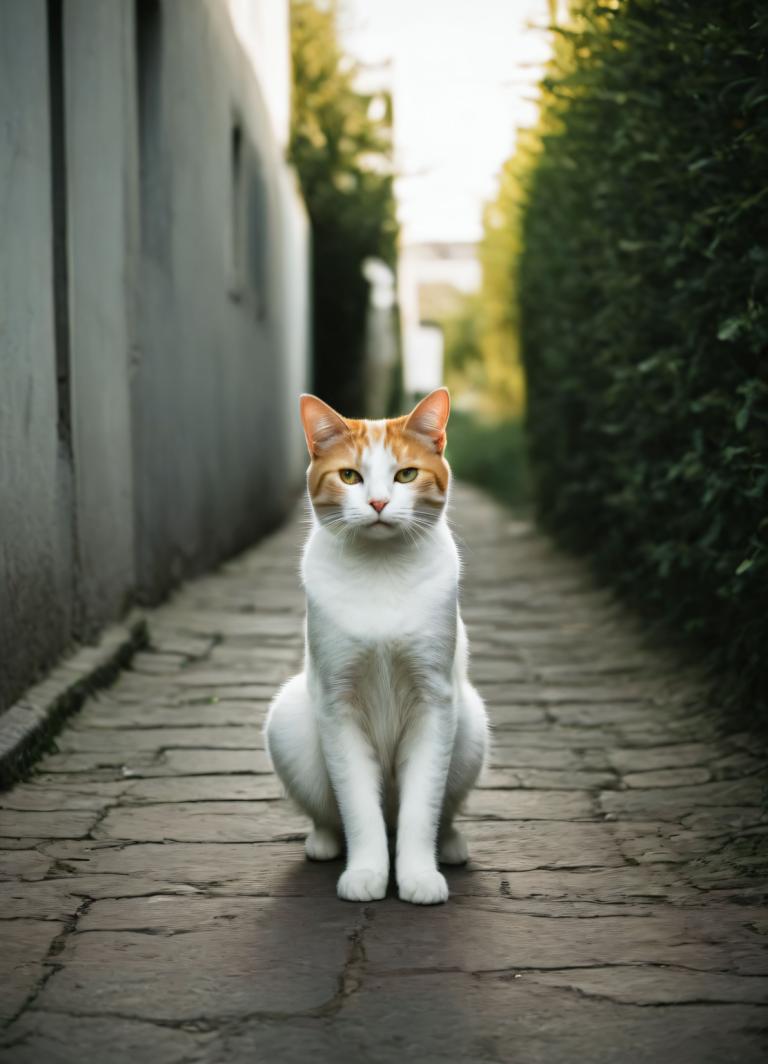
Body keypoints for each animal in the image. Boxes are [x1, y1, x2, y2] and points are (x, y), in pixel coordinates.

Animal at [263, 387, 487, 902]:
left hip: (471, 724)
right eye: (350, 476)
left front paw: (418, 876)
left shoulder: (435, 701)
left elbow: (422, 808)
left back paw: (451, 845)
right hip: (288, 718)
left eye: (406, 474)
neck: (382, 571)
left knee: (440, 812)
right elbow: (359, 808)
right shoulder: (338, 704)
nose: (380, 502)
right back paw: (324, 842)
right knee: (333, 815)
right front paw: (366, 873)